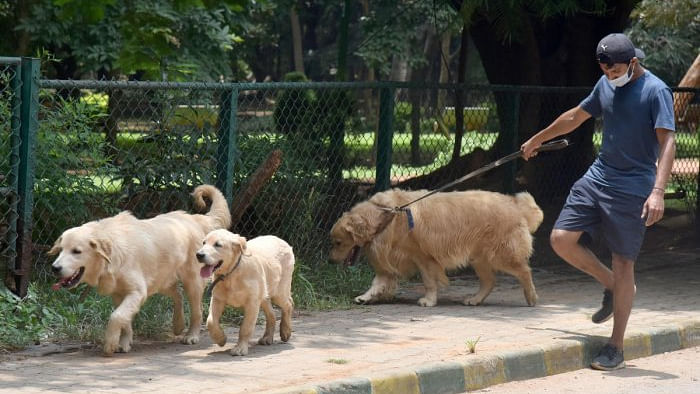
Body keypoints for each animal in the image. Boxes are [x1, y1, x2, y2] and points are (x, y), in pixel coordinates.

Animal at [50, 186, 230, 356]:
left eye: (76, 251)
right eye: (60, 250)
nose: (55, 268)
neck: (112, 256)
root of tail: (193, 218)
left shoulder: (137, 292)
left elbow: (116, 317)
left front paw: (110, 344)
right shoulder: (119, 294)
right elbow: (124, 321)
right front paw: (124, 343)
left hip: (192, 282)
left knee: (197, 310)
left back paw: (191, 335)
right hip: (161, 281)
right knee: (178, 296)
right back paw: (178, 325)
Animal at [330, 189, 544, 308]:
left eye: (338, 242)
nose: (331, 261)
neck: (387, 216)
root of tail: (516, 205)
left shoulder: (423, 257)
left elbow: (429, 282)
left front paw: (429, 300)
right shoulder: (390, 260)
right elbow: (378, 283)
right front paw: (365, 297)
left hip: (502, 255)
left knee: (524, 271)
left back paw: (531, 297)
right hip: (479, 258)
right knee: (489, 281)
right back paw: (475, 299)